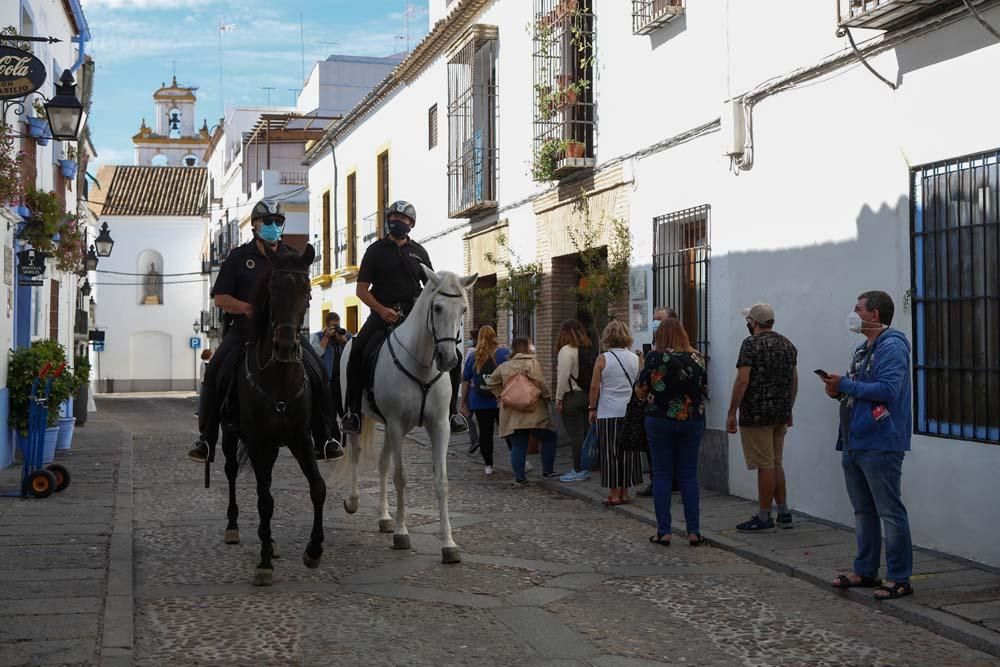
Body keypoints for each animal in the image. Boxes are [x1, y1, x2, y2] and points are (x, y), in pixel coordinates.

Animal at [336, 264, 476, 564]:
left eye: (463, 309)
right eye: (437, 308)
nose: (449, 359)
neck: (422, 363)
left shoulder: (439, 426)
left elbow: (441, 482)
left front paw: (449, 544)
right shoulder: (397, 425)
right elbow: (401, 478)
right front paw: (402, 533)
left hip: (389, 427)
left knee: (382, 463)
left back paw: (384, 516)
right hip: (362, 419)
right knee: (356, 454)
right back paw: (354, 501)